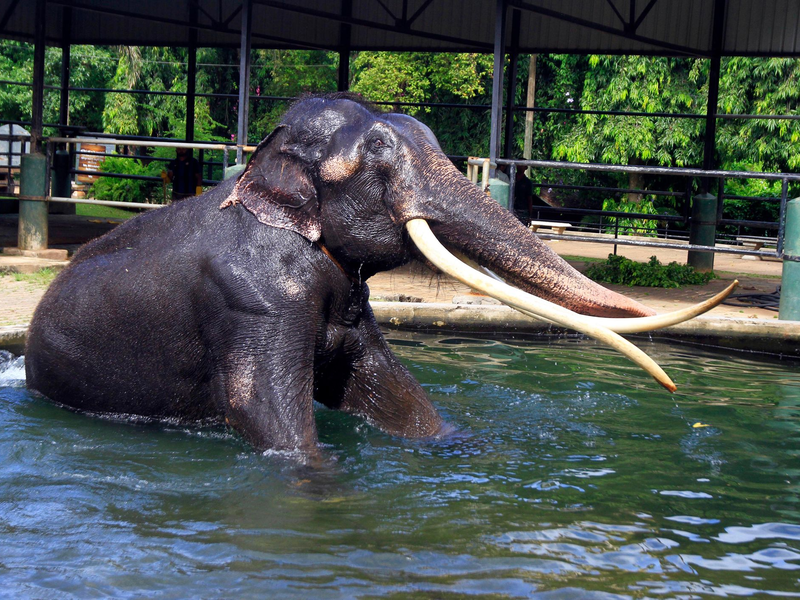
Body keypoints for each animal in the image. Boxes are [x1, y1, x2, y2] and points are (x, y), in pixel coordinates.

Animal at [25, 94, 735, 453]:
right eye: (379, 160)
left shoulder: (351, 308)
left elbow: (395, 395)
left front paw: (460, 447)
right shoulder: (252, 299)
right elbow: (262, 409)